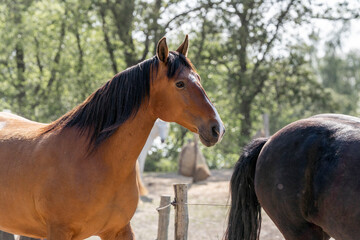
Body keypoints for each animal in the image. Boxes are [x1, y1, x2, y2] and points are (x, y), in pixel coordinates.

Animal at [0, 36, 224, 240]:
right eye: (180, 84)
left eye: (199, 78)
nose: (217, 128)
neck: (93, 158)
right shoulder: (59, 232)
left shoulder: (119, 229)